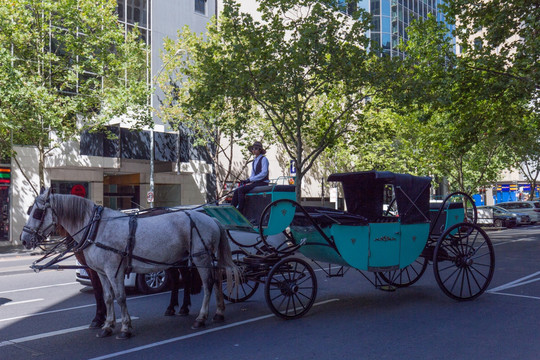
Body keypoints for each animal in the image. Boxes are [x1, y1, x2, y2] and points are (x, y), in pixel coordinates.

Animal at [21, 190, 238, 338]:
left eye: (37, 213)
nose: (24, 240)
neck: (96, 228)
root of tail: (211, 219)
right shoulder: (101, 272)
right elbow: (108, 298)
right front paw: (107, 325)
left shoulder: (114, 271)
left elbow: (120, 297)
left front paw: (125, 327)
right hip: (196, 259)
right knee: (214, 281)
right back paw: (218, 312)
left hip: (201, 258)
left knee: (208, 285)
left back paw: (201, 317)